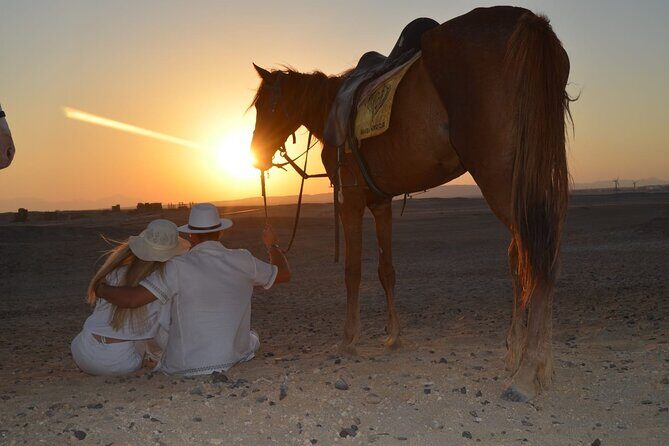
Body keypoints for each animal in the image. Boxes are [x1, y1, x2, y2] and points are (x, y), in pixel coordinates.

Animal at [249, 6, 571, 402]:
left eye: (267, 105)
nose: (255, 153)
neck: (329, 108)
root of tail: (530, 25)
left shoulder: (350, 198)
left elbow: (352, 271)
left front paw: (348, 340)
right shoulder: (381, 201)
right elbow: (386, 270)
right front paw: (393, 335)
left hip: (501, 177)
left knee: (535, 255)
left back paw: (527, 371)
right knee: (526, 257)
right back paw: (519, 354)